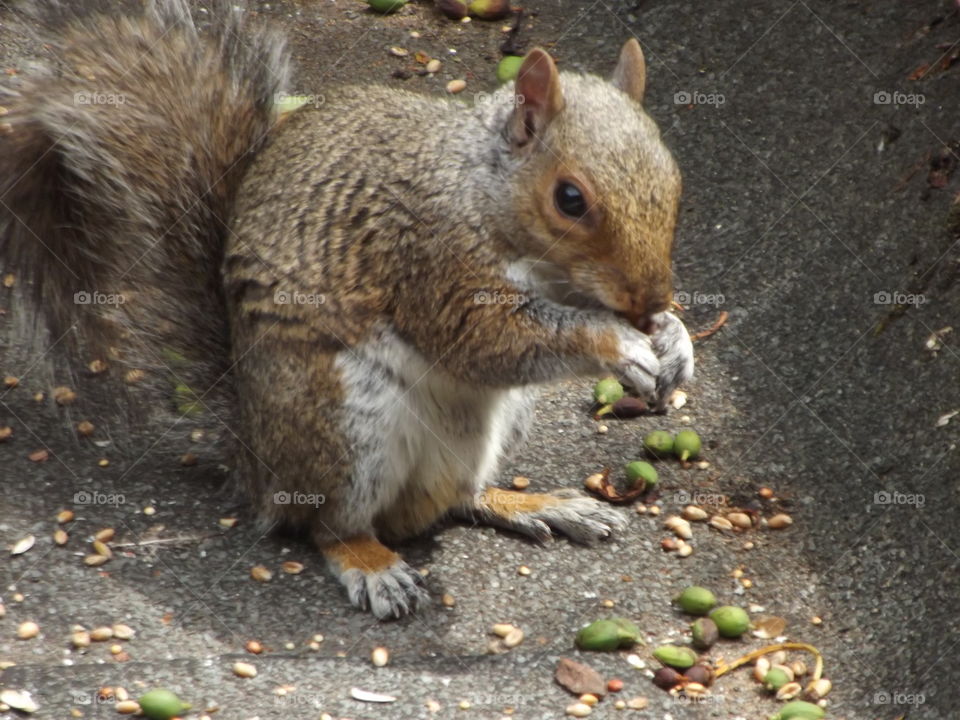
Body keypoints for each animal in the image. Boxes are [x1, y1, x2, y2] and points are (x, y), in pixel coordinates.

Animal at [0, 0, 692, 620]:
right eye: (569, 199)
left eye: (674, 174)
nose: (651, 298)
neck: (480, 188)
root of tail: (256, 460)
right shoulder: (431, 258)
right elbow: (485, 341)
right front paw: (619, 344)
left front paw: (674, 337)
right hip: (341, 420)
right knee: (326, 525)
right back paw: (372, 564)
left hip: (493, 423)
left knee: (455, 500)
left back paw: (534, 504)